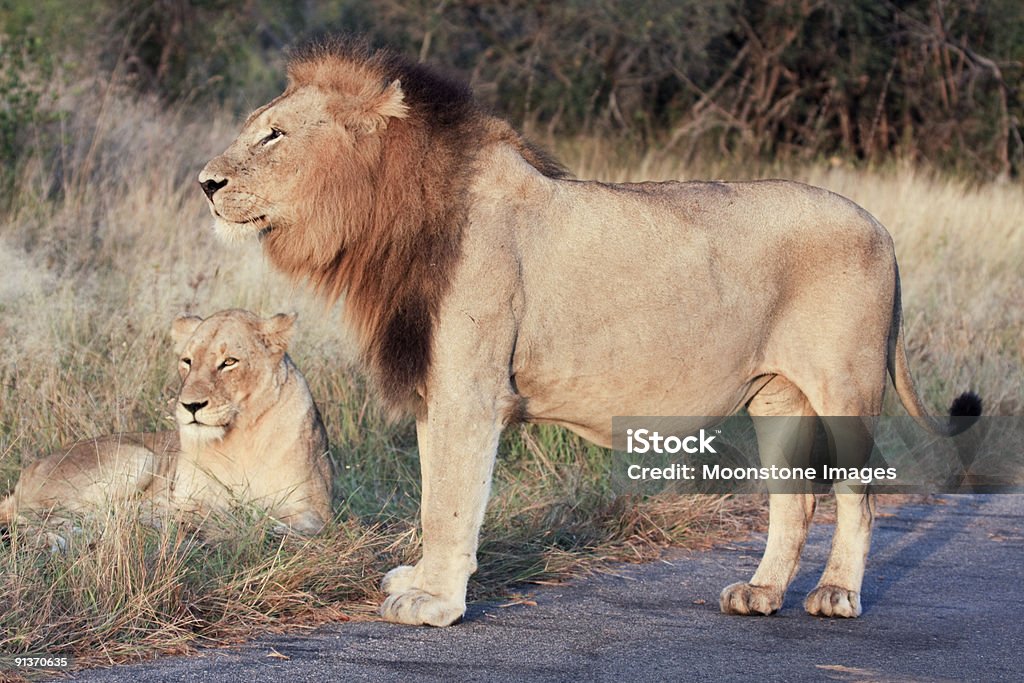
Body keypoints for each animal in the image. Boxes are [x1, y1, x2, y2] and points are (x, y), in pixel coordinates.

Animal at [0, 309, 331, 540]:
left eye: (229, 362)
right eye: (187, 361)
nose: (191, 406)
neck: (240, 435)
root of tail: (27, 473)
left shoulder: (316, 509)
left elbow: (279, 519)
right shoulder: (189, 497)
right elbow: (212, 512)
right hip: (137, 457)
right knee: (41, 516)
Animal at [197, 37, 974, 626]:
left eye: (275, 134)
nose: (205, 183)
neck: (388, 220)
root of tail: (881, 227)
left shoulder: (470, 389)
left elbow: (451, 500)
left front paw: (435, 602)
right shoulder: (436, 387)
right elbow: (431, 492)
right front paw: (419, 578)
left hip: (845, 385)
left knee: (859, 494)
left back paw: (835, 593)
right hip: (778, 395)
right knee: (796, 497)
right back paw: (759, 593)